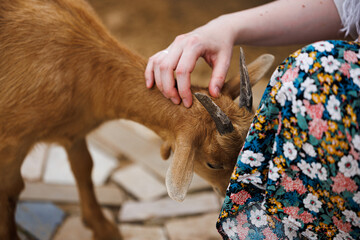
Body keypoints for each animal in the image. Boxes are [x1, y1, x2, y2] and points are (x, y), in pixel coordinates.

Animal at [0, 0, 272, 239]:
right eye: (213, 164)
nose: (237, 199)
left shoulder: (75, 131)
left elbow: (84, 167)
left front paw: (103, 229)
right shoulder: (12, 143)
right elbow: (10, 191)